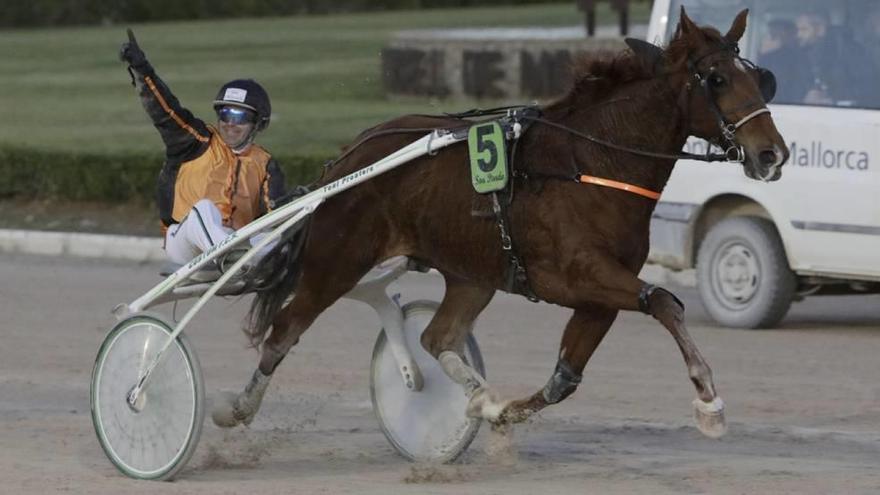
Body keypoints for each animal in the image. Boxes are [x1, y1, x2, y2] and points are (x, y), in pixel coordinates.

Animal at [215, 7, 792, 442]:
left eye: (758, 77)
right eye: (717, 79)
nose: (772, 154)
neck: (593, 163)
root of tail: (346, 160)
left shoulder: (599, 293)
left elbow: (565, 379)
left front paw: (494, 410)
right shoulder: (578, 275)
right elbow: (666, 302)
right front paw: (709, 402)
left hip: (471, 273)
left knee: (436, 337)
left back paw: (475, 395)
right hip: (337, 261)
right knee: (285, 329)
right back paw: (235, 408)